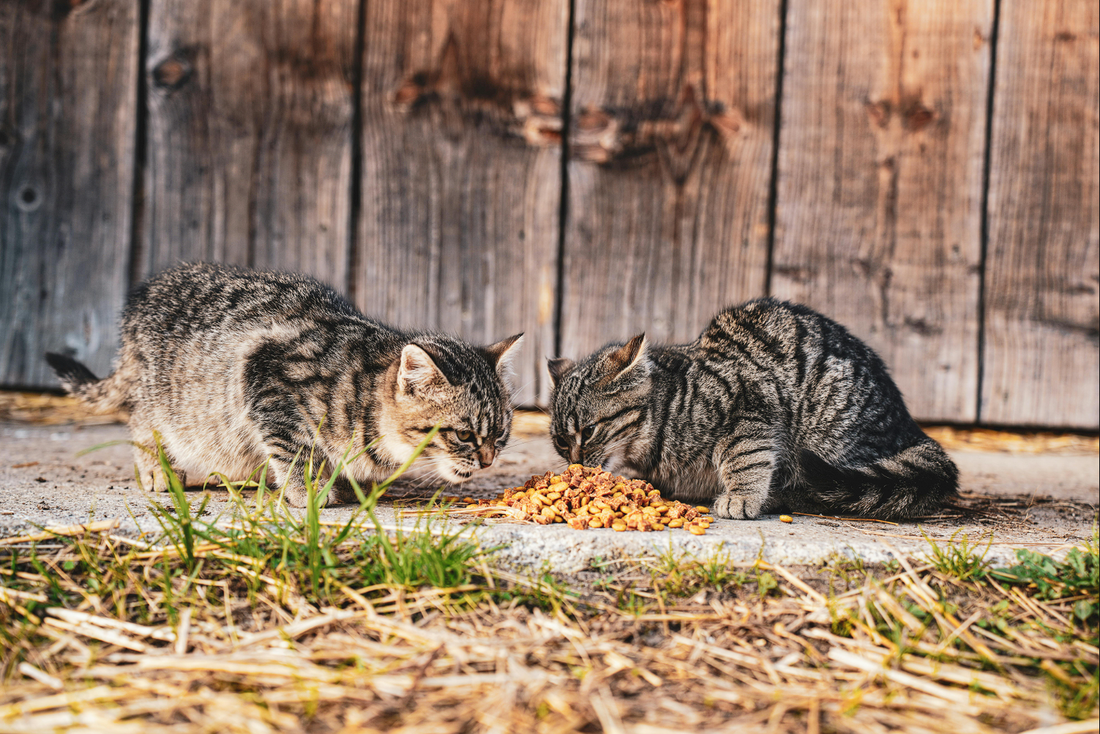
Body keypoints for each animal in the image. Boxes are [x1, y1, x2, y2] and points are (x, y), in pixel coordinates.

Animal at [46, 260, 519, 508]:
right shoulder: (264, 375)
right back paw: (158, 468)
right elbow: (295, 447)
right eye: (463, 435)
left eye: (500, 435)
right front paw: (310, 490)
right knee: (141, 421)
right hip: (167, 397)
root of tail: (145, 296)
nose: (488, 460)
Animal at [547, 299, 954, 521]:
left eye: (588, 431)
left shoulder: (748, 408)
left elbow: (744, 458)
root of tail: (911, 429)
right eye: (561, 443)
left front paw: (741, 496)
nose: (576, 464)